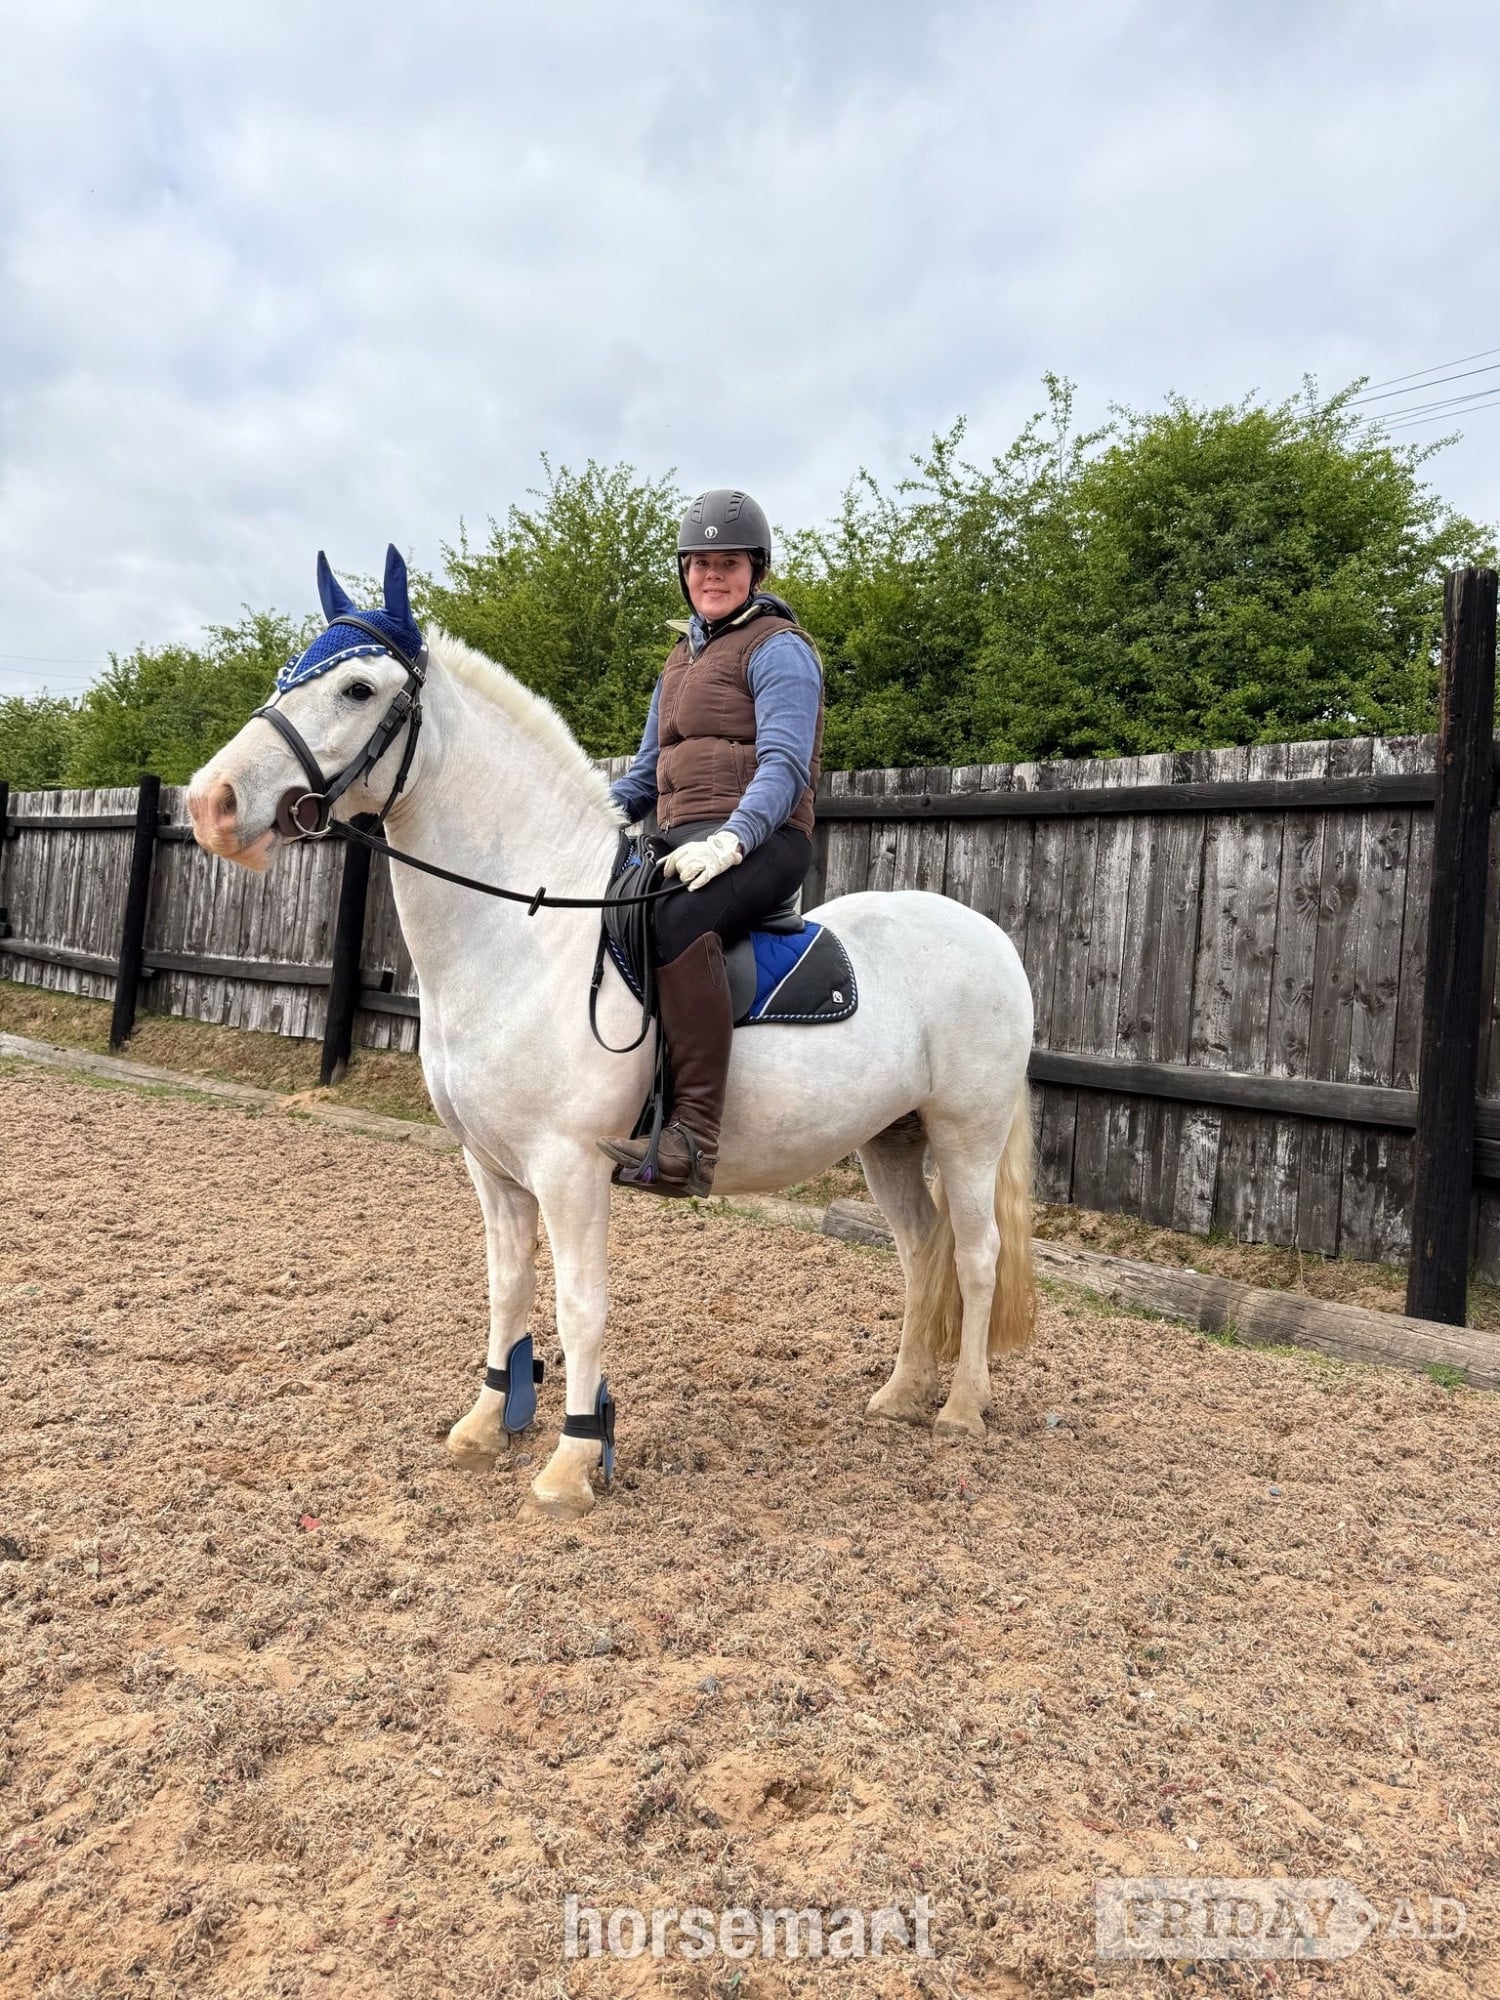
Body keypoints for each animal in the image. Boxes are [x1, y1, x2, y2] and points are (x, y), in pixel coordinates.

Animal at [186, 548, 1036, 1519]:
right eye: (286, 675)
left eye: (358, 689)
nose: (210, 803)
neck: (527, 930)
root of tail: (988, 935)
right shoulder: (491, 1166)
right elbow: (508, 1287)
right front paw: (487, 1423)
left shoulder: (571, 1168)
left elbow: (580, 1304)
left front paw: (572, 1461)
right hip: (890, 1138)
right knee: (922, 1250)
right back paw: (900, 1393)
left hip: (966, 1132)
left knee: (976, 1254)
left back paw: (962, 1407)